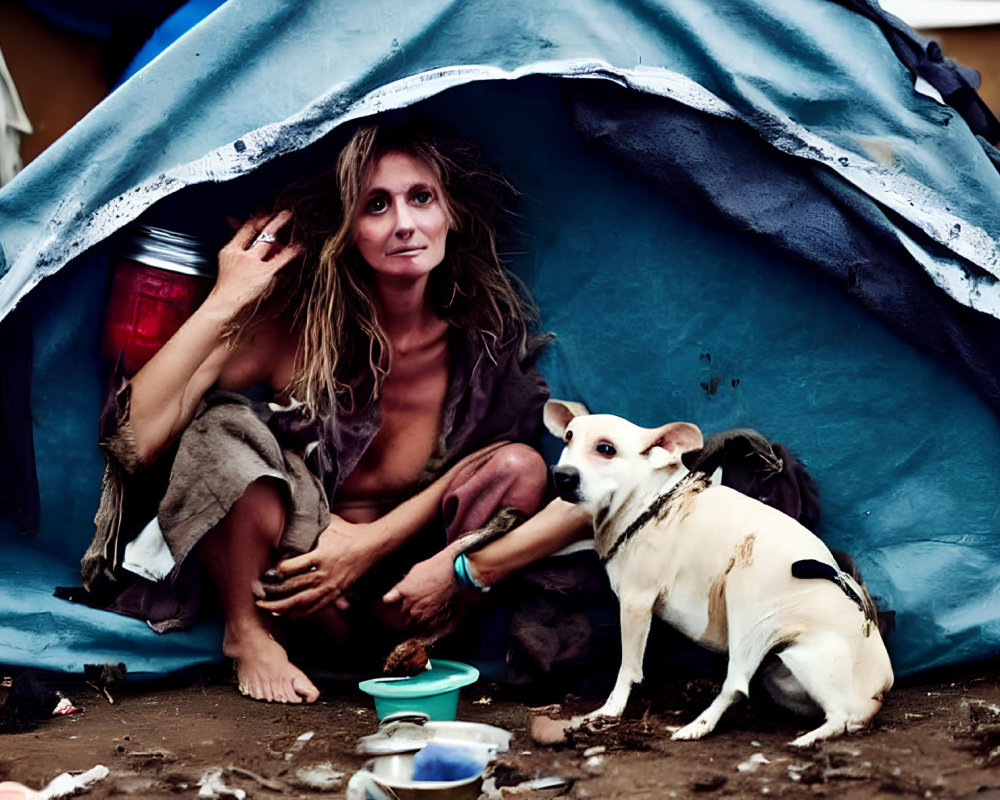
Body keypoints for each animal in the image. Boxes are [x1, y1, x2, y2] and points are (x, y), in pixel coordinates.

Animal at [544, 404, 896, 748]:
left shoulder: (635, 602)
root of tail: (879, 690)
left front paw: (609, 711)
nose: (561, 476)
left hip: (750, 606)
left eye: (606, 448)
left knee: (749, 689)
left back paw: (709, 729)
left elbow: (627, 668)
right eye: (568, 437)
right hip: (783, 673)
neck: (652, 499)